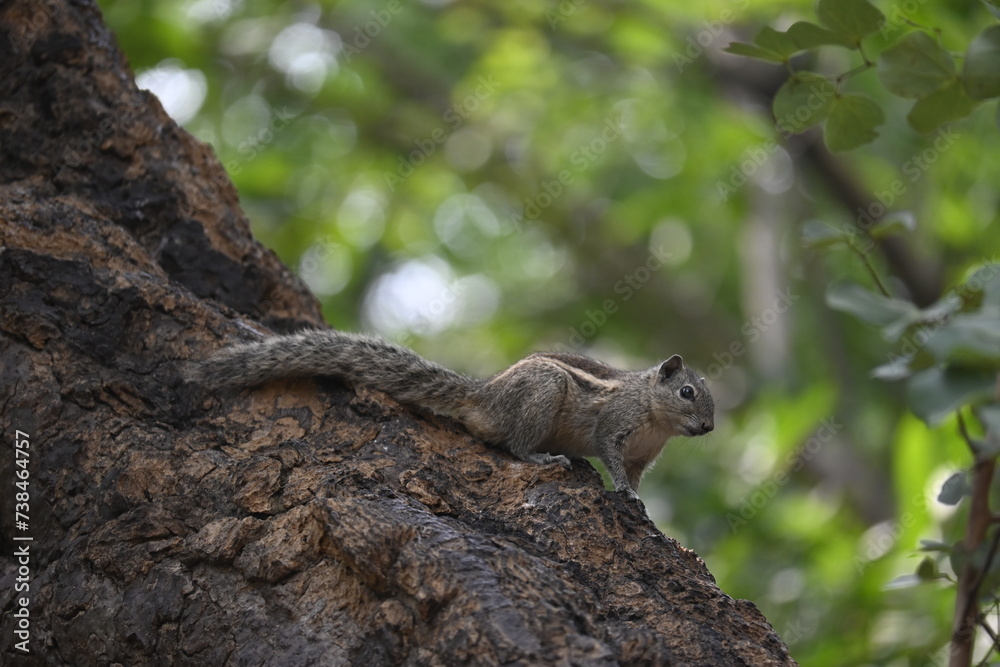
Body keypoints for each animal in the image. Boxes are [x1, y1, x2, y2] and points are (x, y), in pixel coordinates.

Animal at [189, 330, 715, 498]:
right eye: (687, 391)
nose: (708, 427)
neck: (656, 416)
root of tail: (482, 396)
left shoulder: (644, 456)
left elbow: (637, 476)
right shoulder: (617, 424)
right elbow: (609, 450)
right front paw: (624, 493)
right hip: (542, 393)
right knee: (511, 444)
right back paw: (544, 458)